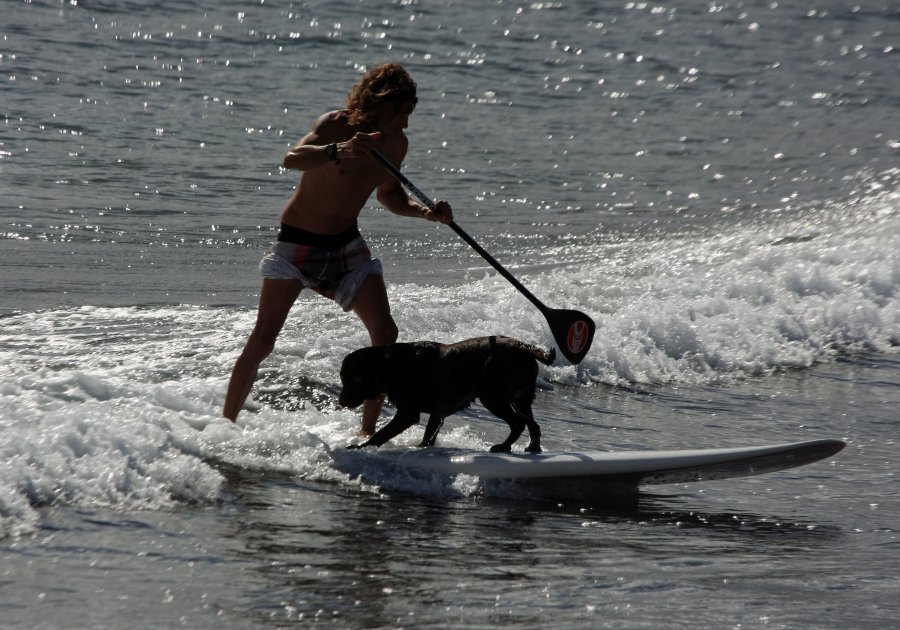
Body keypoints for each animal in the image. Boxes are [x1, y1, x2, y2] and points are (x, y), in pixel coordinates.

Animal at [340, 336, 556, 454]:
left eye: (352, 380)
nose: (341, 401)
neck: (389, 364)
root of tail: (525, 347)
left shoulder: (407, 414)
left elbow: (382, 434)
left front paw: (362, 447)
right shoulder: (437, 414)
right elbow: (429, 435)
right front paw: (422, 447)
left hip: (492, 396)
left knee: (518, 423)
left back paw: (503, 447)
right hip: (520, 400)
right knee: (533, 425)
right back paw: (533, 448)